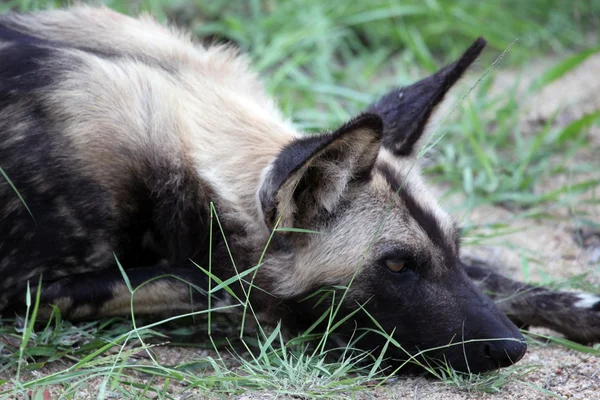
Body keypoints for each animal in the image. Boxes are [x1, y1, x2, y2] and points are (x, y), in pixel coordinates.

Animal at [1, 5, 600, 376]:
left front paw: (577, 305)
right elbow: (225, 286)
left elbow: (490, 276)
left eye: (454, 245)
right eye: (396, 266)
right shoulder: (25, 290)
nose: (514, 348)